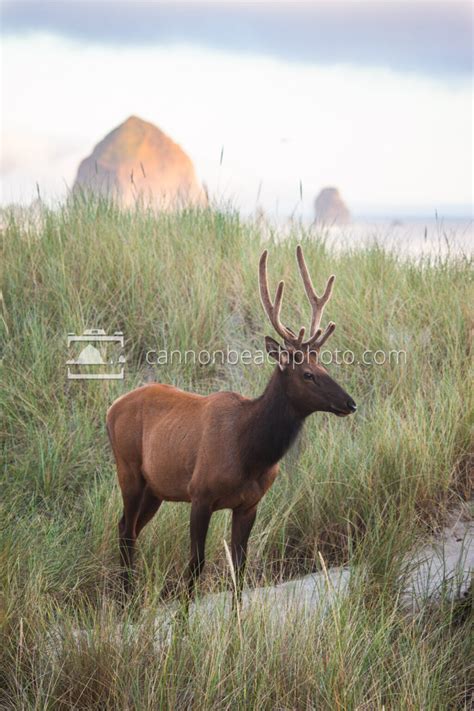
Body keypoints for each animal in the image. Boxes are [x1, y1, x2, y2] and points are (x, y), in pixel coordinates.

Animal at [107, 248, 358, 596]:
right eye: (308, 374)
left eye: (325, 367)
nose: (350, 403)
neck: (250, 453)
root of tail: (112, 408)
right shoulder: (199, 493)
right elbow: (195, 565)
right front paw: (184, 612)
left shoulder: (249, 504)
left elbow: (239, 569)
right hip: (128, 469)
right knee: (126, 529)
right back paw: (126, 595)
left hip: (155, 487)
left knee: (127, 527)